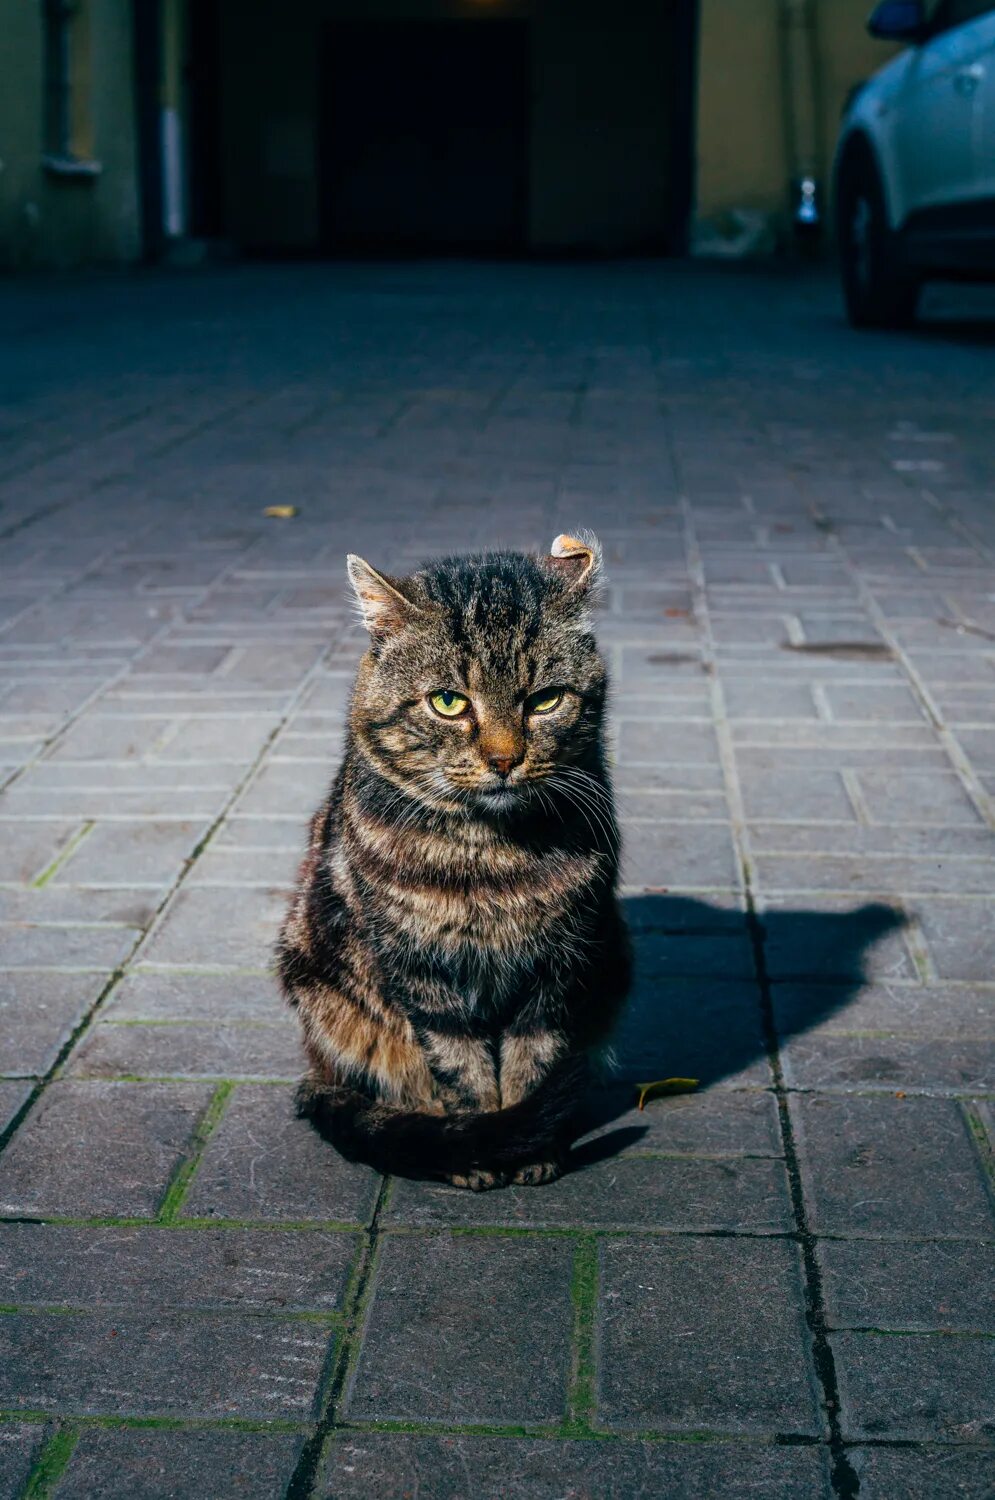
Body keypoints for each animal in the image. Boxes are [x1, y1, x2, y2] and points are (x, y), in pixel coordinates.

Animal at [274, 534, 630, 1188]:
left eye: (545, 700)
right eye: (448, 702)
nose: (504, 759)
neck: (492, 857)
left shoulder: (560, 966)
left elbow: (533, 1065)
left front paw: (529, 1149)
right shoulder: (421, 971)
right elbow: (459, 1066)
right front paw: (480, 1147)